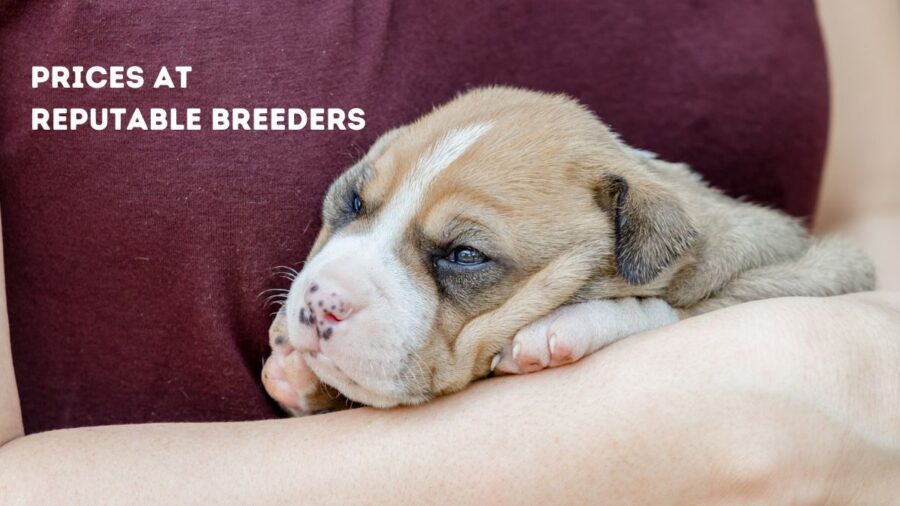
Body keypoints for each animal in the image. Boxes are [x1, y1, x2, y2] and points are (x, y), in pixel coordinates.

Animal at [258, 85, 872, 414]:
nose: (319, 302)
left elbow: (659, 309)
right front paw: (299, 375)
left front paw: (560, 330)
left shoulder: (812, 273)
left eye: (465, 255)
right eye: (353, 201)